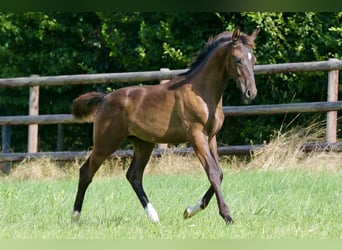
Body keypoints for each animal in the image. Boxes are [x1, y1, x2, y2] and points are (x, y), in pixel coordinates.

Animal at [71, 27, 260, 225]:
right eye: (238, 59)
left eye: (253, 60)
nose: (251, 92)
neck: (202, 92)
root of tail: (104, 99)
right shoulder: (196, 135)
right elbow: (213, 172)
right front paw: (226, 216)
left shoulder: (211, 137)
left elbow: (220, 173)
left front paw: (189, 211)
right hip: (106, 143)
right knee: (86, 172)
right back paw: (75, 216)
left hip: (143, 144)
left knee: (134, 175)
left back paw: (153, 217)